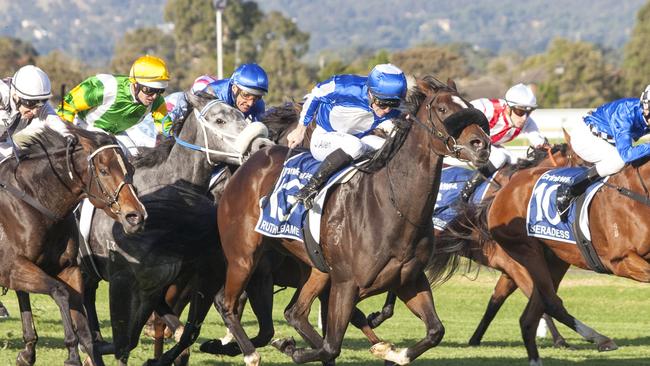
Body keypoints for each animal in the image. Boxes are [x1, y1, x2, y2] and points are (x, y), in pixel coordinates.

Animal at [0, 125, 144, 366]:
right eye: (103, 171)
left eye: (131, 169)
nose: (136, 216)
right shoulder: (11, 268)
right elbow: (60, 292)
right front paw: (72, 353)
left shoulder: (68, 268)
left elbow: (84, 328)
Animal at [78, 92, 270, 366]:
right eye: (220, 120)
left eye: (243, 116)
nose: (262, 145)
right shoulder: (124, 279)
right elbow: (126, 341)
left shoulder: (169, 281)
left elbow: (181, 333)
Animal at [215, 76, 488, 364]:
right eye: (443, 110)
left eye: (469, 107)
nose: (481, 145)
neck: (393, 206)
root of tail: (248, 163)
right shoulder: (346, 285)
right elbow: (331, 345)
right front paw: (291, 348)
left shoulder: (409, 280)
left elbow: (435, 330)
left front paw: (394, 352)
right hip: (244, 257)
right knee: (227, 302)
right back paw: (250, 353)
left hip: (316, 269)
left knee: (295, 312)